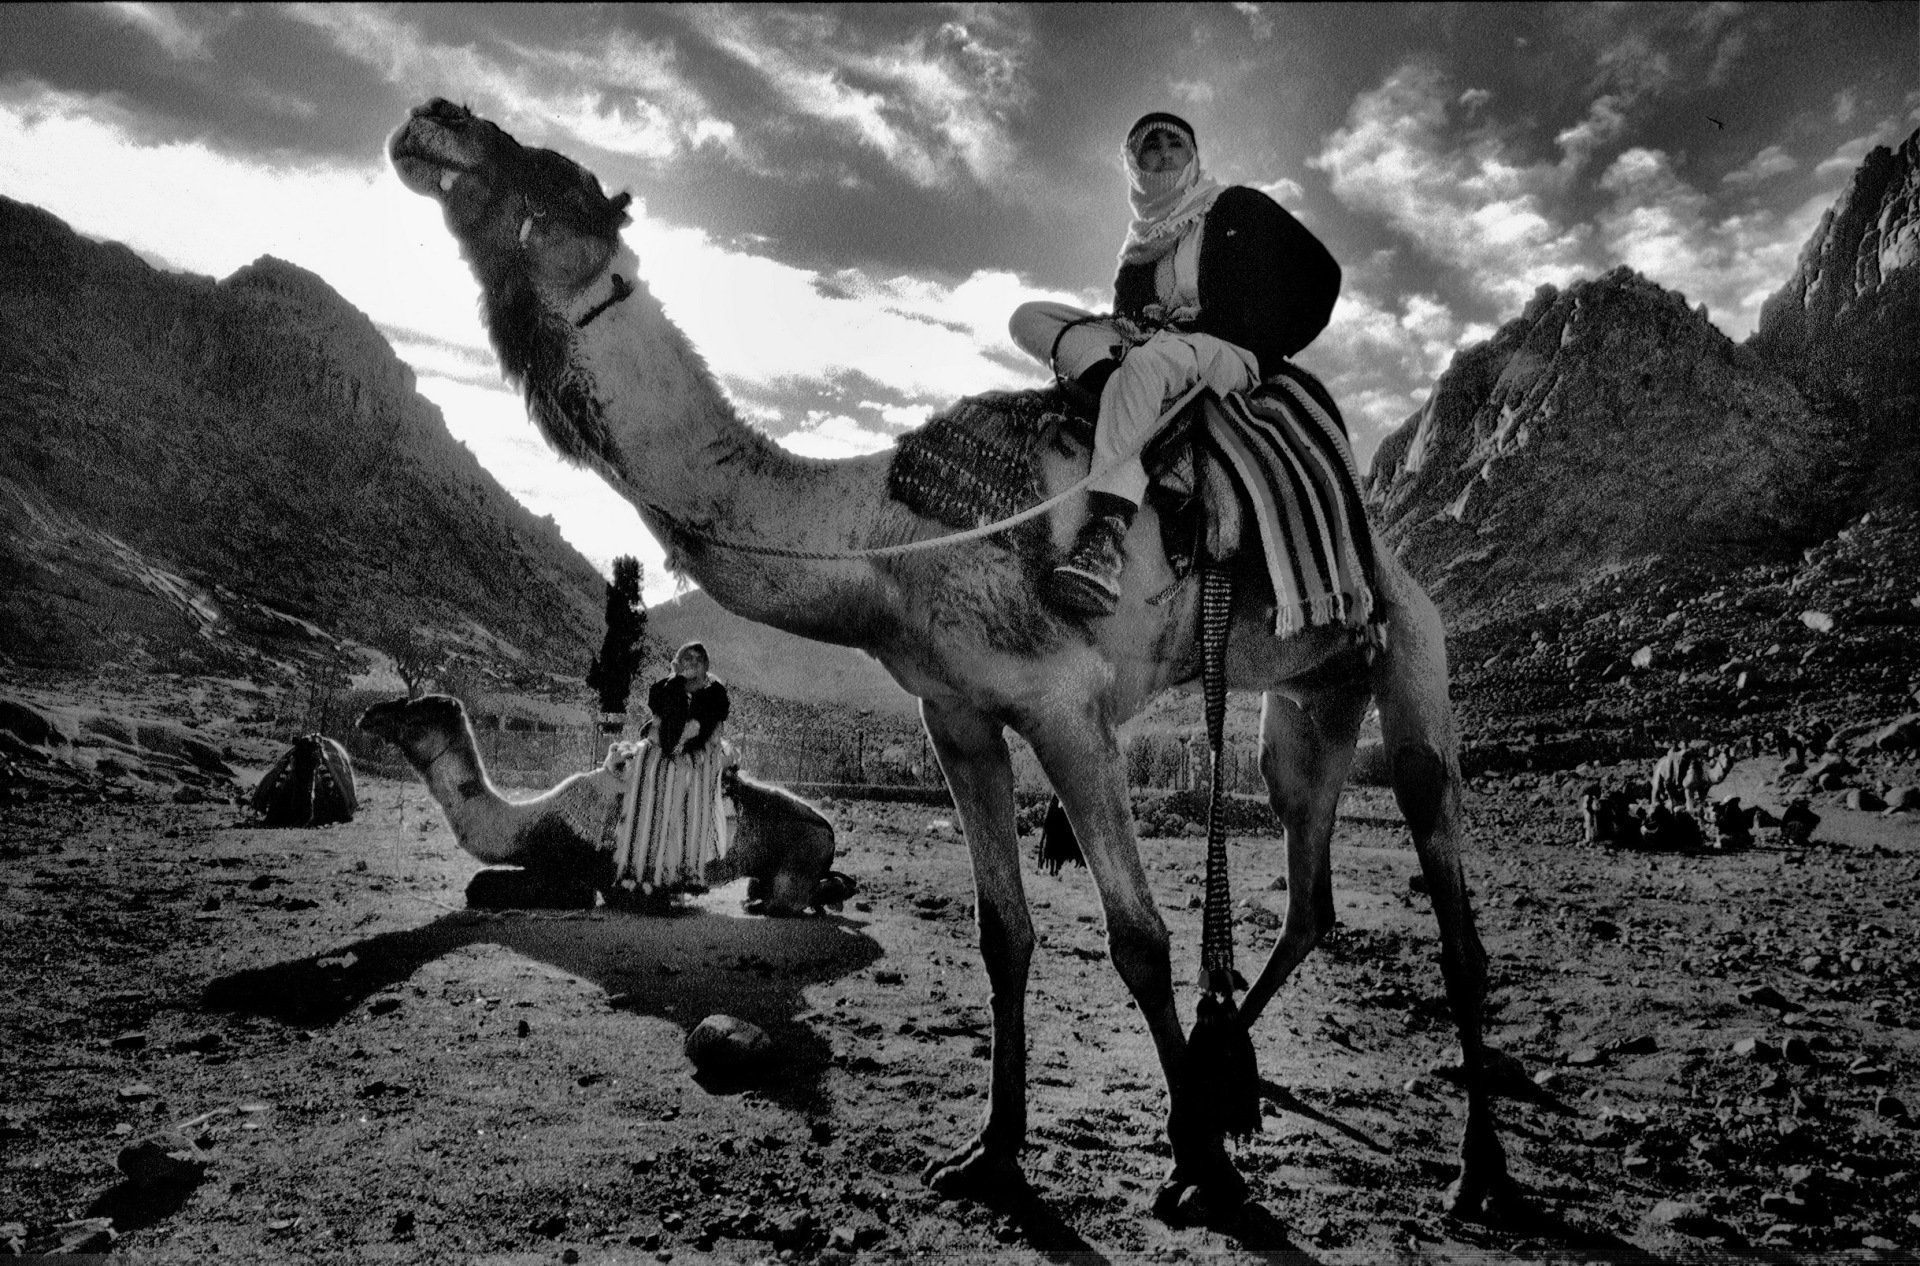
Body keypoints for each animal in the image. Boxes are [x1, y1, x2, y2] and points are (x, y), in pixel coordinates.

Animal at [357, 694, 850, 915]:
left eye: (414, 709)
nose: (368, 714)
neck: (526, 823)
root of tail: (828, 829)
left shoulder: (575, 871)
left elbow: (481, 885)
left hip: (796, 863)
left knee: (782, 901)